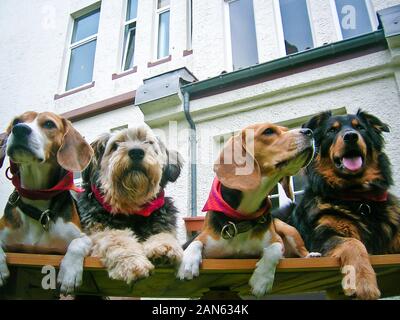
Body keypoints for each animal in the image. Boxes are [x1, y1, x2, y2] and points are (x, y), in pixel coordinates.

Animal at [0, 111, 93, 294]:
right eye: (16, 121)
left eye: (49, 124)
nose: (19, 129)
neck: (37, 198)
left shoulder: (85, 237)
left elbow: (77, 243)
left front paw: (70, 273)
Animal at [77, 124, 184, 284]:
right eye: (115, 145)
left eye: (149, 143)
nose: (136, 152)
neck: (133, 207)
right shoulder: (100, 230)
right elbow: (117, 240)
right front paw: (132, 263)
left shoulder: (163, 223)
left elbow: (164, 234)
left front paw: (164, 247)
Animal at [177, 123, 318, 298]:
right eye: (268, 131)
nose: (310, 132)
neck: (243, 216)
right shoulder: (205, 237)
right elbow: (195, 243)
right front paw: (188, 264)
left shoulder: (276, 240)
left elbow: (273, 251)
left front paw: (261, 280)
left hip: (289, 230)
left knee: (302, 250)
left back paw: (311, 255)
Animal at [290, 110, 400, 300]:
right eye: (331, 131)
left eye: (360, 127)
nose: (350, 136)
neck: (357, 197)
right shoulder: (321, 237)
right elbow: (353, 243)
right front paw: (363, 283)